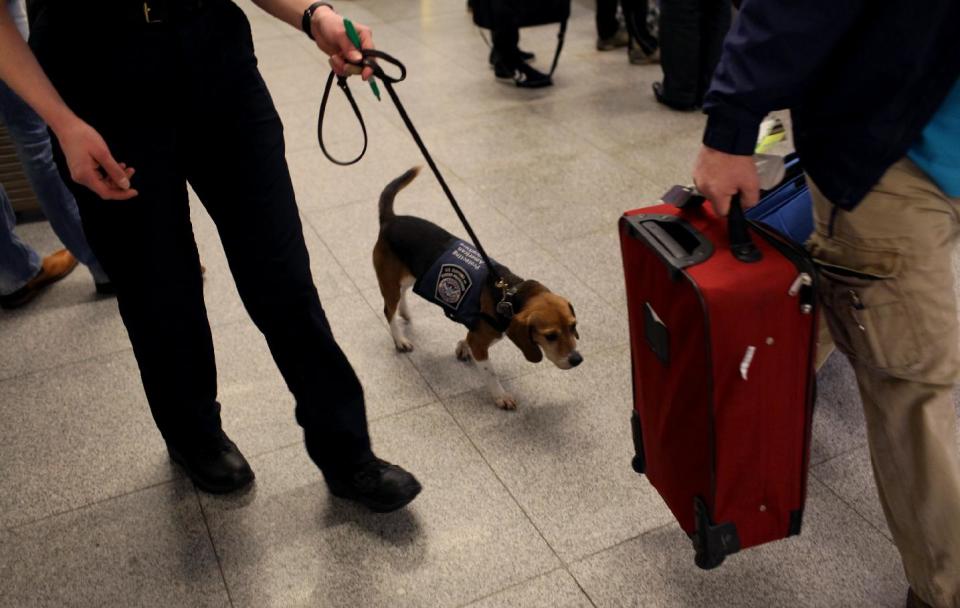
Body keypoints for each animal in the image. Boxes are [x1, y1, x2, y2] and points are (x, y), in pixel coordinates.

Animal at [374, 169, 584, 410]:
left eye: (573, 326)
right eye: (550, 336)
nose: (577, 360)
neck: (509, 295)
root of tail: (391, 219)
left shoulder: (476, 330)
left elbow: (467, 338)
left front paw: (462, 347)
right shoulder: (481, 345)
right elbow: (490, 373)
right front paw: (500, 395)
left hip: (410, 276)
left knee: (402, 295)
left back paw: (405, 312)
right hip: (389, 281)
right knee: (388, 311)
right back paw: (400, 339)